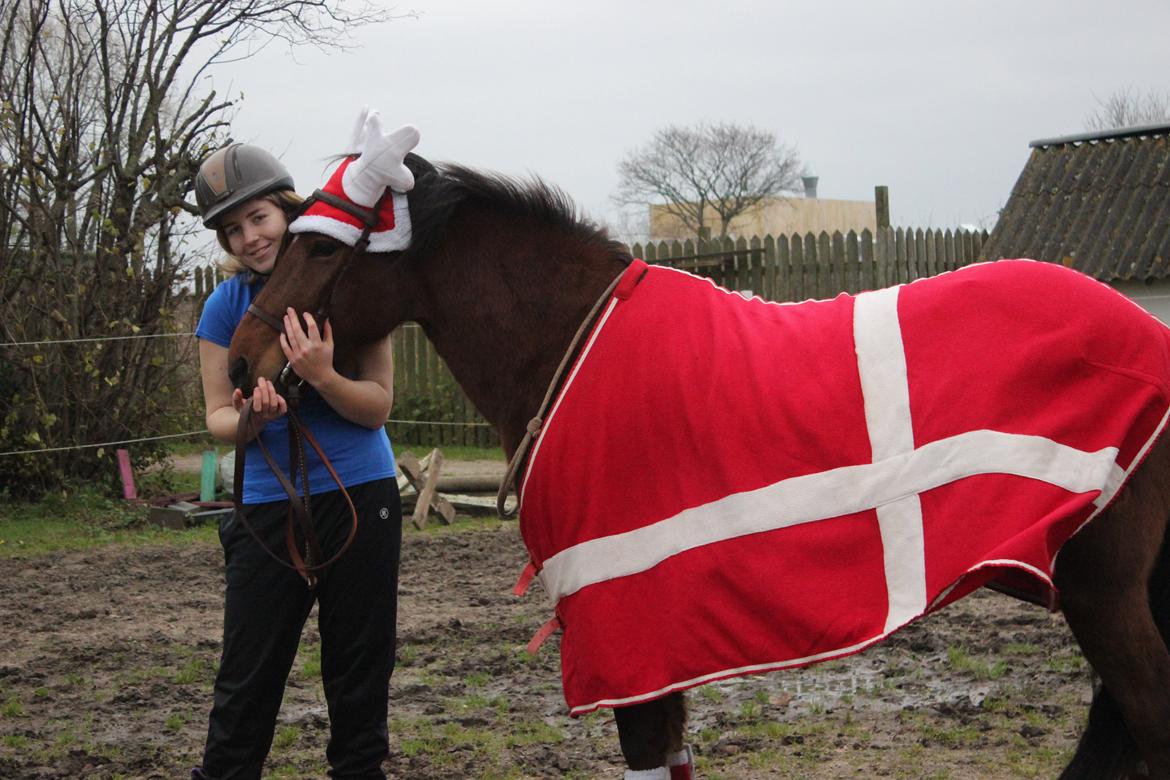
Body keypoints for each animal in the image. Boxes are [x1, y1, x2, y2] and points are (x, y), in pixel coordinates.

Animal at [228, 154, 1170, 780]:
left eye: (321, 249)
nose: (239, 363)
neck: (576, 346)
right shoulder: (661, 648)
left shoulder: (631, 630)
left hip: (1105, 595)